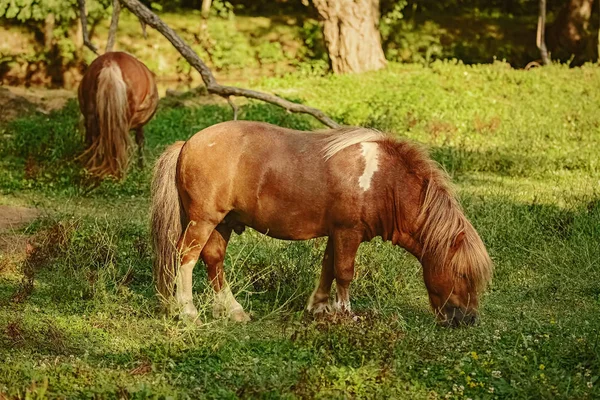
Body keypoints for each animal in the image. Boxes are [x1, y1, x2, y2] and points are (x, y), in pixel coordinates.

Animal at [149, 122, 492, 328]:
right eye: (463, 274)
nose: (468, 319)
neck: (385, 182)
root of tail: (186, 143)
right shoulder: (348, 232)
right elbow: (344, 272)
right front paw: (346, 314)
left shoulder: (336, 233)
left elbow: (328, 268)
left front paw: (318, 307)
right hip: (203, 221)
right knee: (186, 258)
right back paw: (188, 312)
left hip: (221, 224)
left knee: (214, 261)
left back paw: (232, 311)